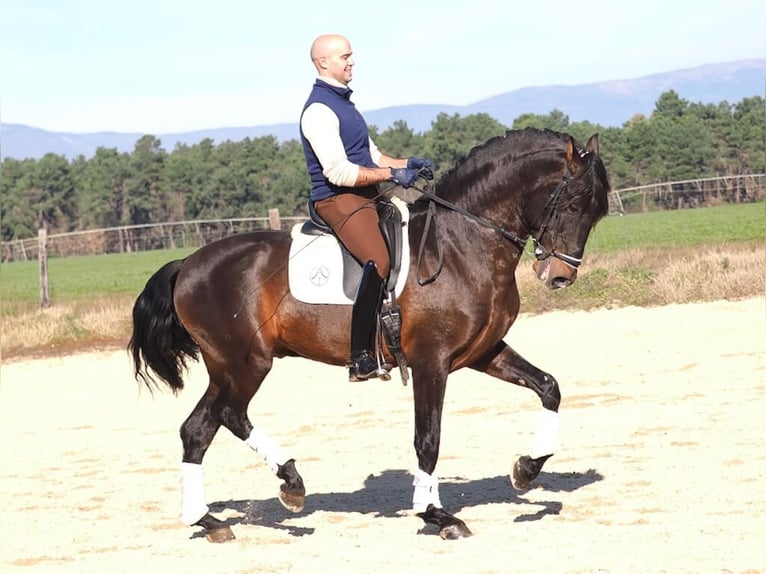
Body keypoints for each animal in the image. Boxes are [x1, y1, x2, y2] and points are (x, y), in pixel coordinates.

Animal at [130, 127, 612, 544]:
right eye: (572, 205)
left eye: (596, 213)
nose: (560, 276)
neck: (463, 243)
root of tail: (188, 264)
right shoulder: (431, 361)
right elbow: (428, 438)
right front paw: (436, 514)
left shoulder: (483, 352)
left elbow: (549, 387)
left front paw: (526, 470)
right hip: (245, 363)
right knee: (230, 415)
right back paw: (291, 483)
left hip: (225, 368)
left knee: (197, 430)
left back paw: (209, 520)